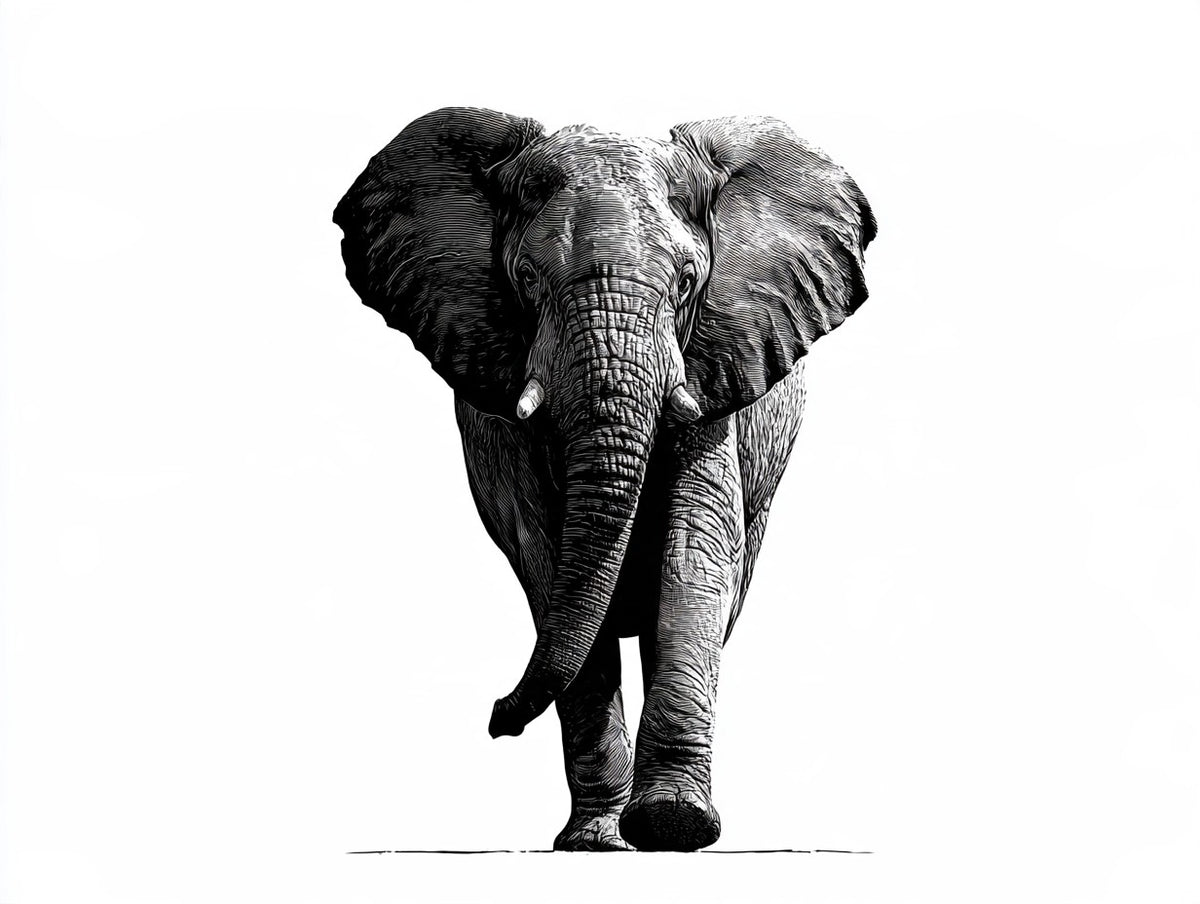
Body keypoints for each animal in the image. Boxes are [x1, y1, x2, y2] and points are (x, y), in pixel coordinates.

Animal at [332, 107, 876, 852]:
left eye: (686, 283)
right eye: (528, 281)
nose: (495, 717)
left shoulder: (715, 362)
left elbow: (694, 546)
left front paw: (675, 825)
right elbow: (545, 555)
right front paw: (597, 842)